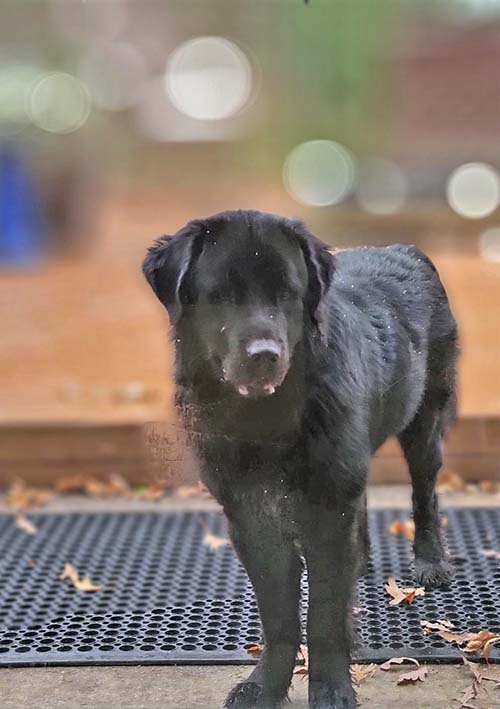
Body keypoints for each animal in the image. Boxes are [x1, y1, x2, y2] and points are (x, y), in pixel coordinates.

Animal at [143, 209, 458, 708]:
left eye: (287, 293)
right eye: (221, 294)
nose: (264, 355)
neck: (268, 420)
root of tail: (405, 248)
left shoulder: (327, 510)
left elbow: (324, 615)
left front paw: (330, 688)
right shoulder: (253, 519)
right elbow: (279, 617)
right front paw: (265, 686)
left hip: (424, 424)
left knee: (424, 494)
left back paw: (429, 562)